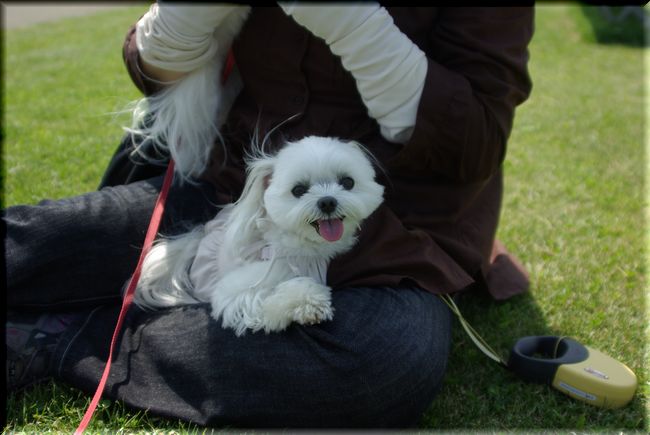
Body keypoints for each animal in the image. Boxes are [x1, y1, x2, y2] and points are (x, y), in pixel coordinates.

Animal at [133, 136, 384, 336]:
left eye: (347, 182)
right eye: (298, 190)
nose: (327, 202)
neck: (305, 249)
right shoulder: (235, 291)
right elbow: (264, 298)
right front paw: (308, 303)